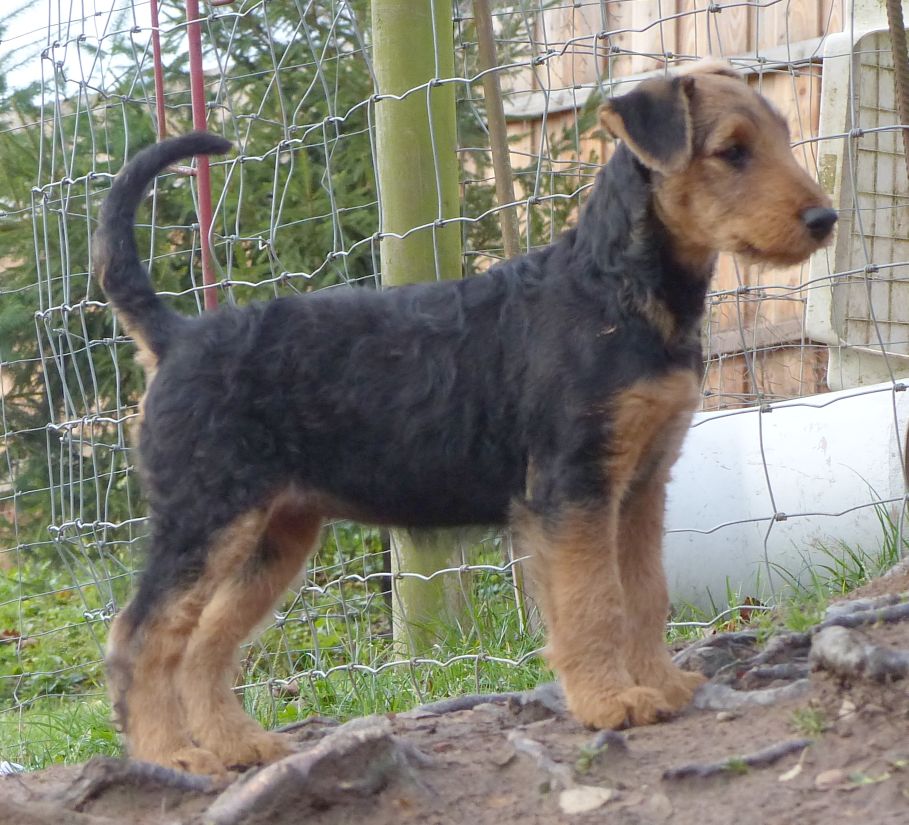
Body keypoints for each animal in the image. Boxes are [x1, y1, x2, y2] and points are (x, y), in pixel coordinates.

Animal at [94, 60, 836, 774]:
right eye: (731, 151)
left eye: (781, 138)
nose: (824, 218)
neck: (616, 289)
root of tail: (177, 336)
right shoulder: (572, 487)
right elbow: (593, 602)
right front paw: (609, 701)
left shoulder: (641, 483)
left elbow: (644, 593)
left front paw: (661, 684)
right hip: (206, 517)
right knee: (140, 636)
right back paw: (170, 753)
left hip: (274, 534)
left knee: (203, 643)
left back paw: (235, 744)